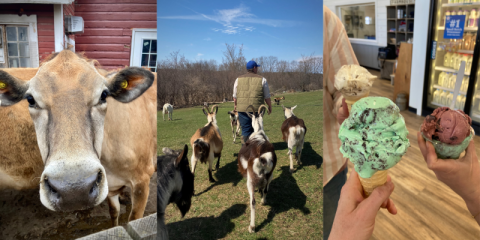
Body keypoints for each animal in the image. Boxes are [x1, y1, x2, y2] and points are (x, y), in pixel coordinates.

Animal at [0, 50, 157, 225]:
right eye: (30, 99)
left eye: (104, 95)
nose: (73, 190)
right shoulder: (110, 188)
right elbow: (114, 214)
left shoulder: (142, 181)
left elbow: (134, 218)